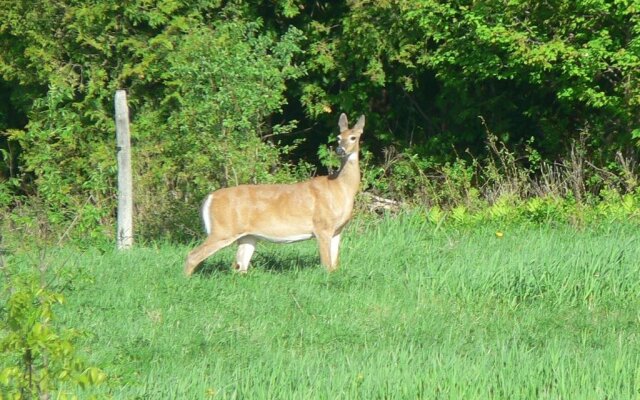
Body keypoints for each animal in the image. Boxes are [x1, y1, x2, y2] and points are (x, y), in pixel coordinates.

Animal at [185, 111, 364, 276]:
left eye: (353, 137)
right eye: (338, 137)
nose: (340, 150)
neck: (339, 187)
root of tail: (209, 197)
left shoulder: (337, 230)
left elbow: (334, 266)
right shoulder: (322, 226)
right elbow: (326, 266)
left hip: (247, 237)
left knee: (239, 266)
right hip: (223, 229)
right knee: (192, 255)